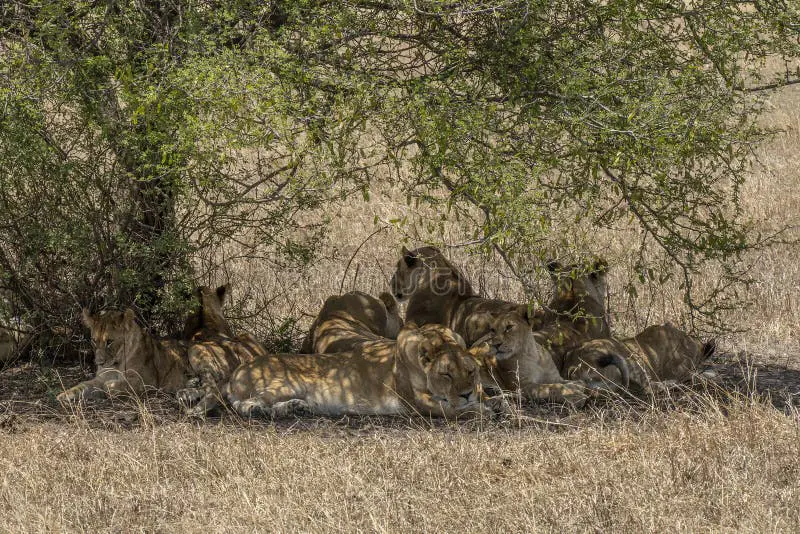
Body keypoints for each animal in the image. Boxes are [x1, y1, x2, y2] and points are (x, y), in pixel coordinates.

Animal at [225, 324, 496, 420]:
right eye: (446, 375)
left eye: (470, 371)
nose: (466, 394)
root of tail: (240, 368)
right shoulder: (417, 404)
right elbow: (452, 410)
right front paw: (480, 409)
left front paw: (496, 401)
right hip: (287, 383)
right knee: (243, 404)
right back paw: (260, 411)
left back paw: (296, 408)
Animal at [560, 322, 716, 394]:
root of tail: (572, 367)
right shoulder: (681, 369)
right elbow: (698, 374)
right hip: (631, 359)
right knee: (649, 387)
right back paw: (673, 384)